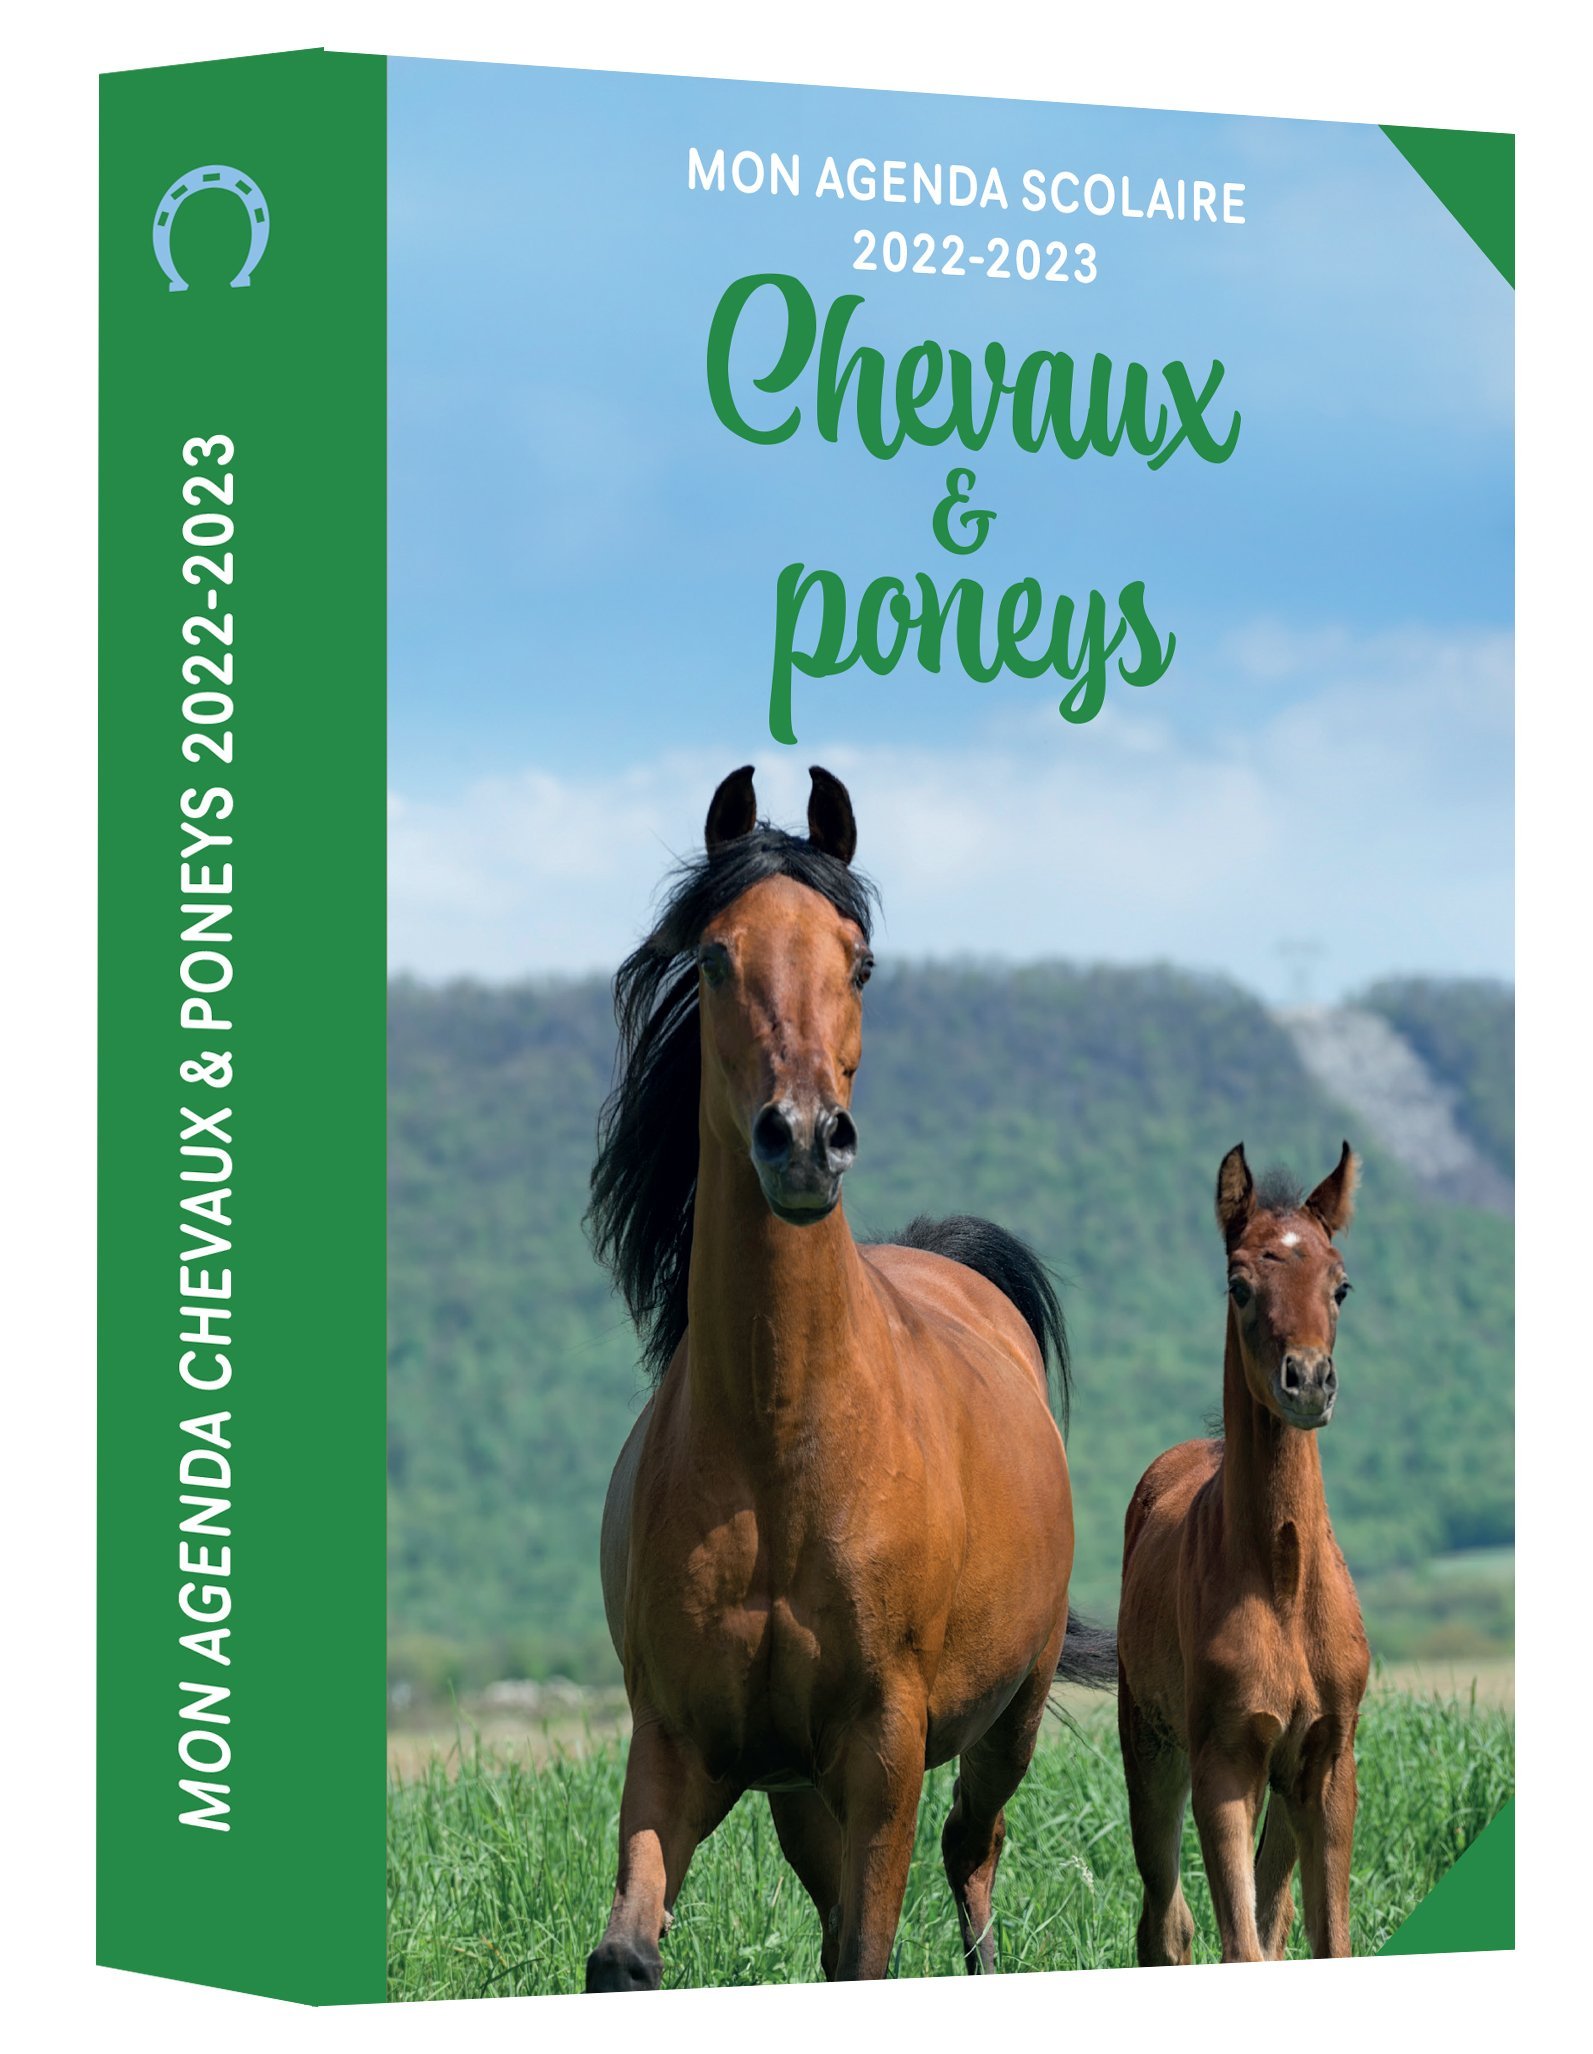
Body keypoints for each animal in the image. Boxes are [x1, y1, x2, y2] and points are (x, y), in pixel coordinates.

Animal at [583, 764, 1113, 1990]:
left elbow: (871, 1947)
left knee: (972, 1850)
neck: (782, 1447)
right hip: (798, 1793)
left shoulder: (884, 1748)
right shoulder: (679, 1740)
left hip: (1006, 1719)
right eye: (714, 955)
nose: (805, 1141)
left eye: (859, 960)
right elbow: (626, 1954)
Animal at [1115, 1142, 1371, 1965]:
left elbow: (1321, 1939)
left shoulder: (1327, 1760)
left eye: (1340, 1284)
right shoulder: (1223, 1759)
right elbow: (1237, 1942)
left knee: (1272, 1910)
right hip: (1152, 1751)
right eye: (1238, 1284)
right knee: (1166, 1923)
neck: (1283, 1582)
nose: (1308, 1381)